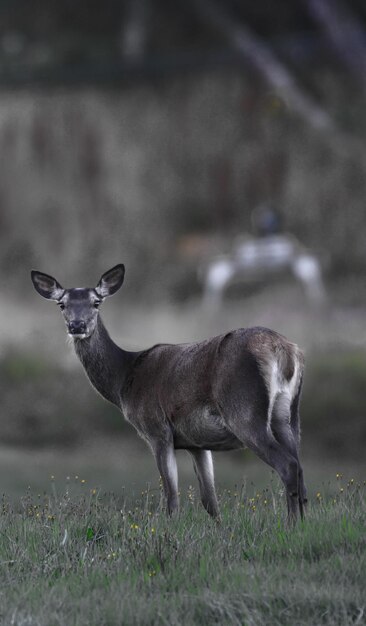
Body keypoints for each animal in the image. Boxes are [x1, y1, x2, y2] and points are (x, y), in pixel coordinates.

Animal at [30, 264, 306, 520]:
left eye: (96, 302)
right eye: (62, 304)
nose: (77, 325)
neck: (124, 380)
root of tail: (283, 350)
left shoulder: (156, 429)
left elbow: (171, 498)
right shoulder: (197, 442)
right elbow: (210, 501)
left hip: (244, 410)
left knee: (288, 465)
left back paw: (291, 525)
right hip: (288, 416)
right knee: (300, 469)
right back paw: (302, 525)